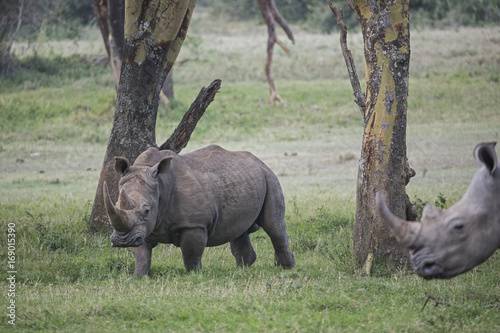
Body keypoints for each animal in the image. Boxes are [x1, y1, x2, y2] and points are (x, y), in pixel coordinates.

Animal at [103, 145, 294, 274]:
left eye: (146, 210)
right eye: (116, 205)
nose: (122, 241)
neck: (161, 187)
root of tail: (259, 161)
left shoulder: (194, 224)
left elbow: (191, 253)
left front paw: (194, 276)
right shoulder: (140, 229)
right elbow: (141, 255)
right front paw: (138, 277)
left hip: (269, 177)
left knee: (274, 226)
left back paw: (285, 268)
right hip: (245, 179)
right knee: (239, 232)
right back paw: (242, 270)